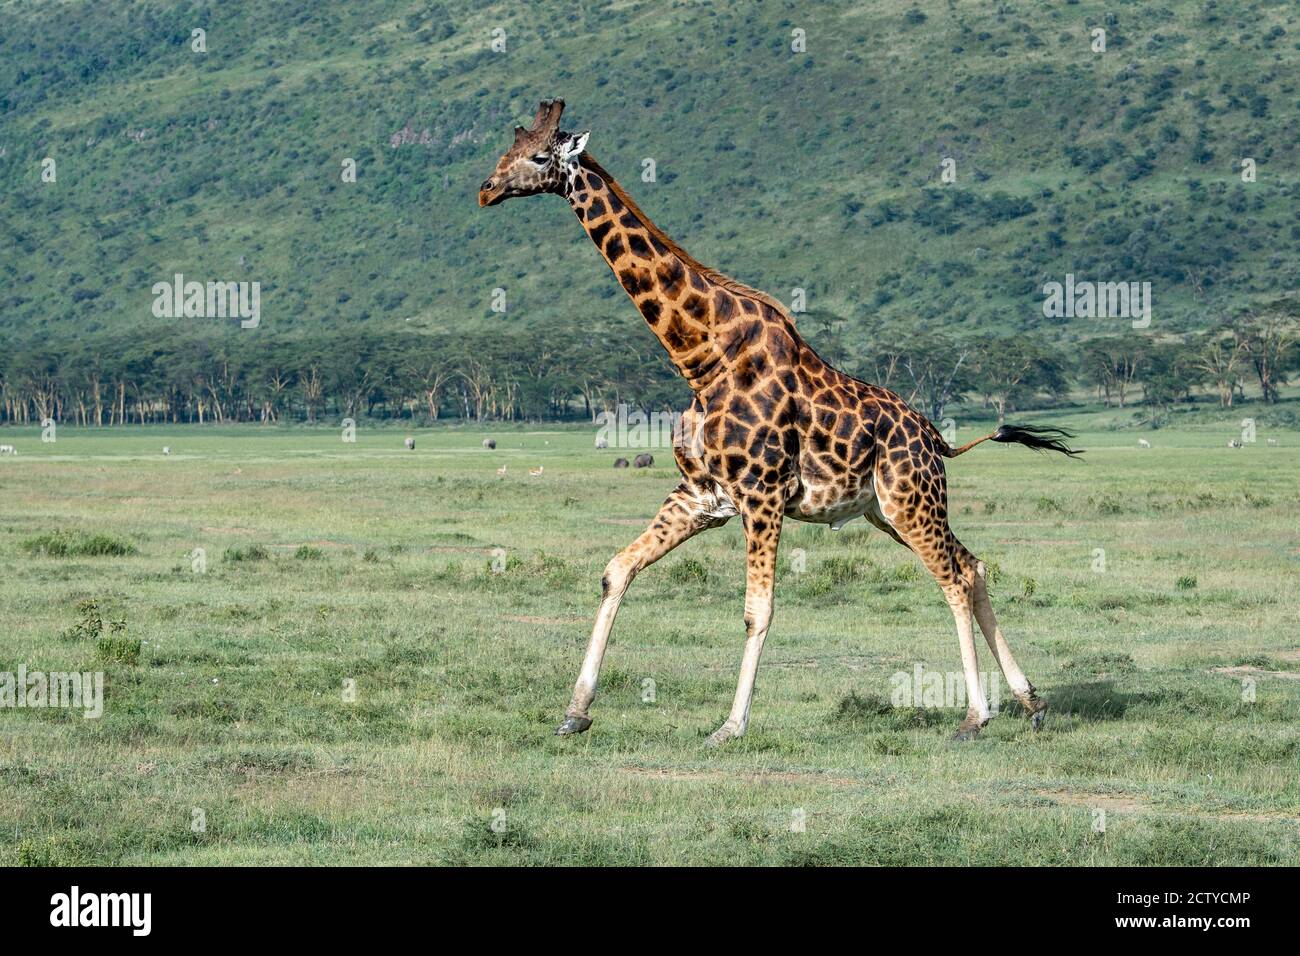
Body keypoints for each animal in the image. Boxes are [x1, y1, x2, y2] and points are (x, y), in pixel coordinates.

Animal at [479, 100, 1081, 744]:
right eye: (508, 149)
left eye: (540, 155)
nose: (486, 190)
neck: (702, 357)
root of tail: (936, 439)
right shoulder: (700, 494)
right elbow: (617, 570)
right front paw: (575, 711)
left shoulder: (761, 494)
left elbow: (757, 610)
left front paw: (730, 725)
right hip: (887, 510)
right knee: (973, 565)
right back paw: (1031, 702)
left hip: (909, 500)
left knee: (955, 579)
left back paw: (975, 715)